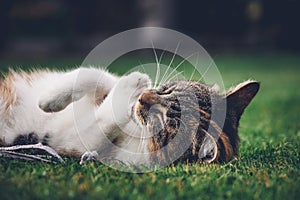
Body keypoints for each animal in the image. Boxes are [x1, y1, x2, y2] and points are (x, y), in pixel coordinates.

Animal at [0, 67, 258, 166]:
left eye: (163, 121)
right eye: (168, 90)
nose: (144, 96)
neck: (136, 131)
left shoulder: (73, 141)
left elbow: (103, 118)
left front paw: (133, 83)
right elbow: (95, 75)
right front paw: (48, 100)